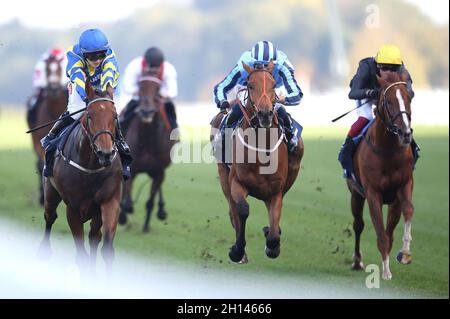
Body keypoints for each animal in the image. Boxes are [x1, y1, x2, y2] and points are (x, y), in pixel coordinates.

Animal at [39, 80, 122, 272]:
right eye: (90, 116)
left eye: (114, 116)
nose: (106, 153)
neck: (91, 166)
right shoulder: (73, 208)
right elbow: (81, 255)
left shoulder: (109, 201)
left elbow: (106, 248)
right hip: (50, 192)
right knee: (49, 216)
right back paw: (44, 250)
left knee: (94, 237)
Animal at [118, 69, 176, 232]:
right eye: (140, 86)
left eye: (157, 88)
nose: (146, 111)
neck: (148, 139)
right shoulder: (131, 168)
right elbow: (126, 198)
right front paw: (123, 215)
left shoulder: (158, 171)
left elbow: (150, 201)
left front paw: (145, 226)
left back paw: (161, 211)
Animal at [210, 61, 302, 264]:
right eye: (250, 85)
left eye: (274, 85)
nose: (265, 114)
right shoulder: (237, 182)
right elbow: (242, 210)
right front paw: (237, 250)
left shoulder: (276, 191)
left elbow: (275, 223)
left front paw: (272, 244)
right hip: (223, 176)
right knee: (233, 210)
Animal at [352, 72, 414, 280]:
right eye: (388, 101)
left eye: (409, 97)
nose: (405, 133)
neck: (387, 150)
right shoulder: (372, 193)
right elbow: (380, 232)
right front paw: (386, 272)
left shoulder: (404, 185)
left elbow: (408, 211)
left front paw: (405, 253)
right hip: (355, 194)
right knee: (358, 225)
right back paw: (357, 261)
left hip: (393, 202)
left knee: (390, 230)